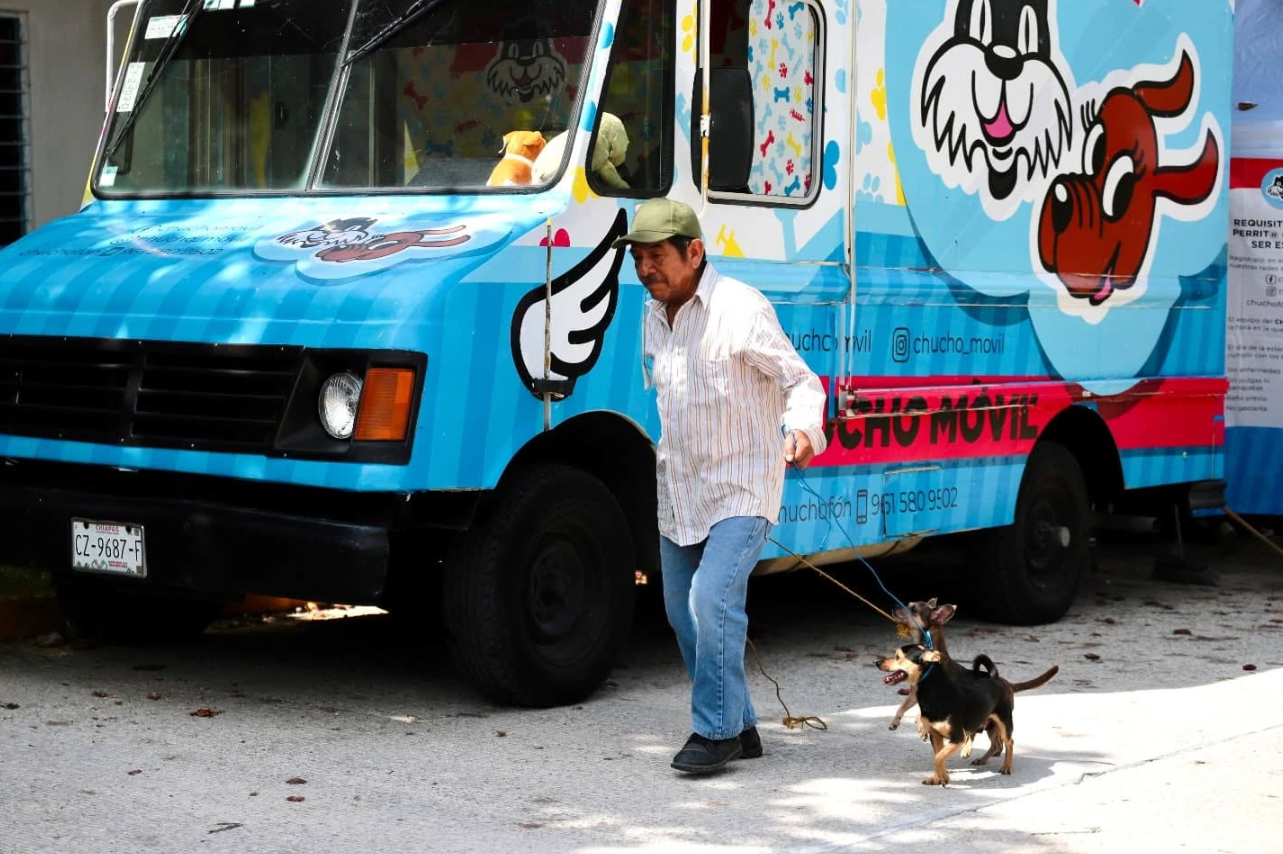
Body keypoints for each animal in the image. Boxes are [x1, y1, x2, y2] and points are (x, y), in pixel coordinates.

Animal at [876, 644, 1014, 786]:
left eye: (897, 656)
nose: (877, 663)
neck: (935, 693)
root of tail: (994, 678)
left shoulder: (958, 738)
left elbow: (938, 757)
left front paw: (943, 777)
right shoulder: (935, 735)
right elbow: (939, 756)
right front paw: (939, 778)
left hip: (1004, 723)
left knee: (1009, 742)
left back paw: (1006, 767)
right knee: (996, 744)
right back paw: (982, 760)